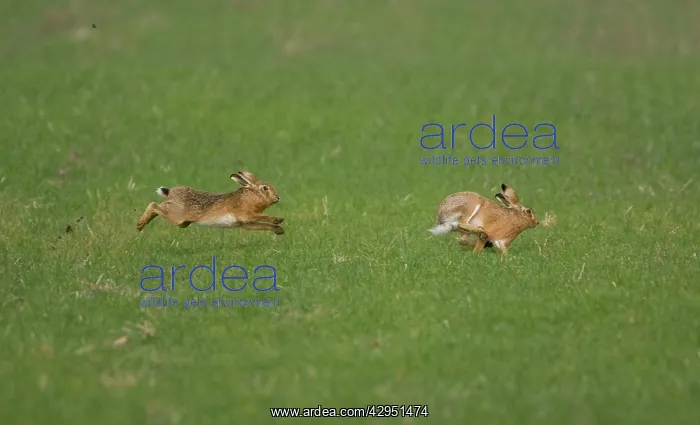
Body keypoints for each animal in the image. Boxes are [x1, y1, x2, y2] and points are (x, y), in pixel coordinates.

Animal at [136, 171, 284, 235]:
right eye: (265, 188)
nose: (278, 197)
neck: (251, 197)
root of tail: (170, 193)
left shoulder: (246, 223)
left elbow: (262, 225)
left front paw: (279, 230)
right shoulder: (247, 215)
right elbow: (263, 217)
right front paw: (278, 220)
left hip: (181, 221)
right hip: (177, 218)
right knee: (153, 205)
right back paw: (140, 225)